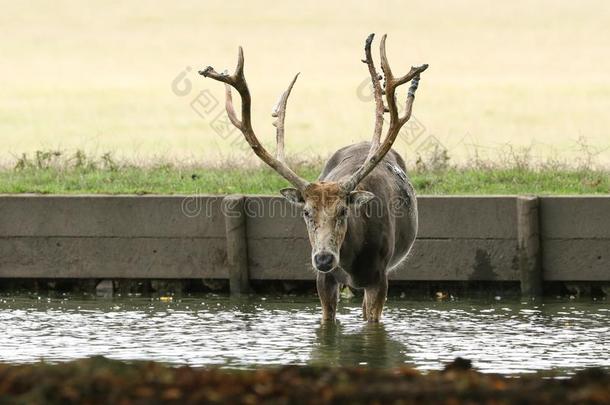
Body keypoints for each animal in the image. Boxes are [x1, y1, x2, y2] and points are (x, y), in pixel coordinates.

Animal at [197, 34, 426, 322]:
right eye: (306, 212)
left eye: (343, 211)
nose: (324, 259)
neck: (350, 261)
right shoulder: (322, 279)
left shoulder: (380, 276)